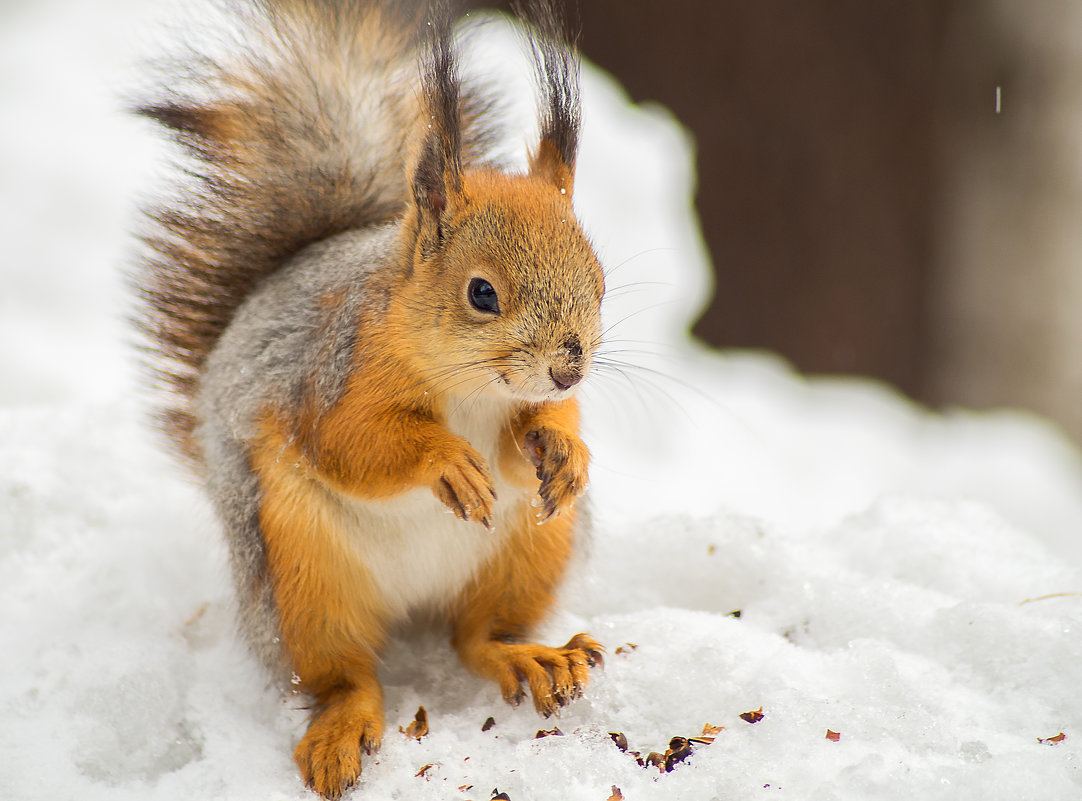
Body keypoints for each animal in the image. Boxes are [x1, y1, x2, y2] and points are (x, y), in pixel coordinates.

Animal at [132, 0, 605, 796]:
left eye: (599, 279)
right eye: (482, 293)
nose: (569, 370)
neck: (468, 386)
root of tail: (413, 605)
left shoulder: (515, 417)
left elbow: (525, 448)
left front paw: (565, 451)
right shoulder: (327, 374)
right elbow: (352, 444)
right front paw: (447, 462)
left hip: (531, 552)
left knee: (477, 636)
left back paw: (529, 654)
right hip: (304, 577)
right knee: (342, 674)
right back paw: (341, 727)